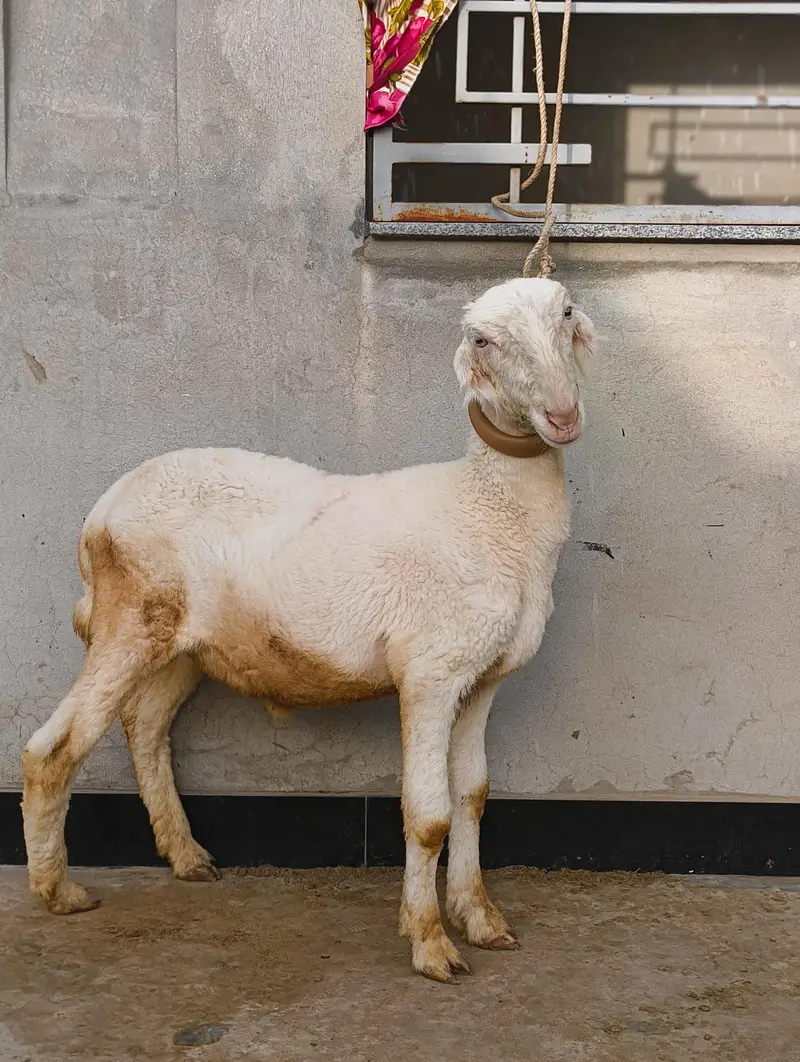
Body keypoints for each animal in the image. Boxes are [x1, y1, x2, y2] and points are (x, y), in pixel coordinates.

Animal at [21, 276, 595, 983]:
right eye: (483, 340)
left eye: (566, 314)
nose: (563, 416)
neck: (487, 512)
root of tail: (100, 514)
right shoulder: (430, 672)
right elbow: (428, 816)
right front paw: (430, 943)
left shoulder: (482, 676)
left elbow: (472, 796)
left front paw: (483, 921)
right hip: (129, 617)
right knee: (52, 749)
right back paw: (58, 890)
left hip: (184, 643)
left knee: (146, 724)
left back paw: (187, 856)